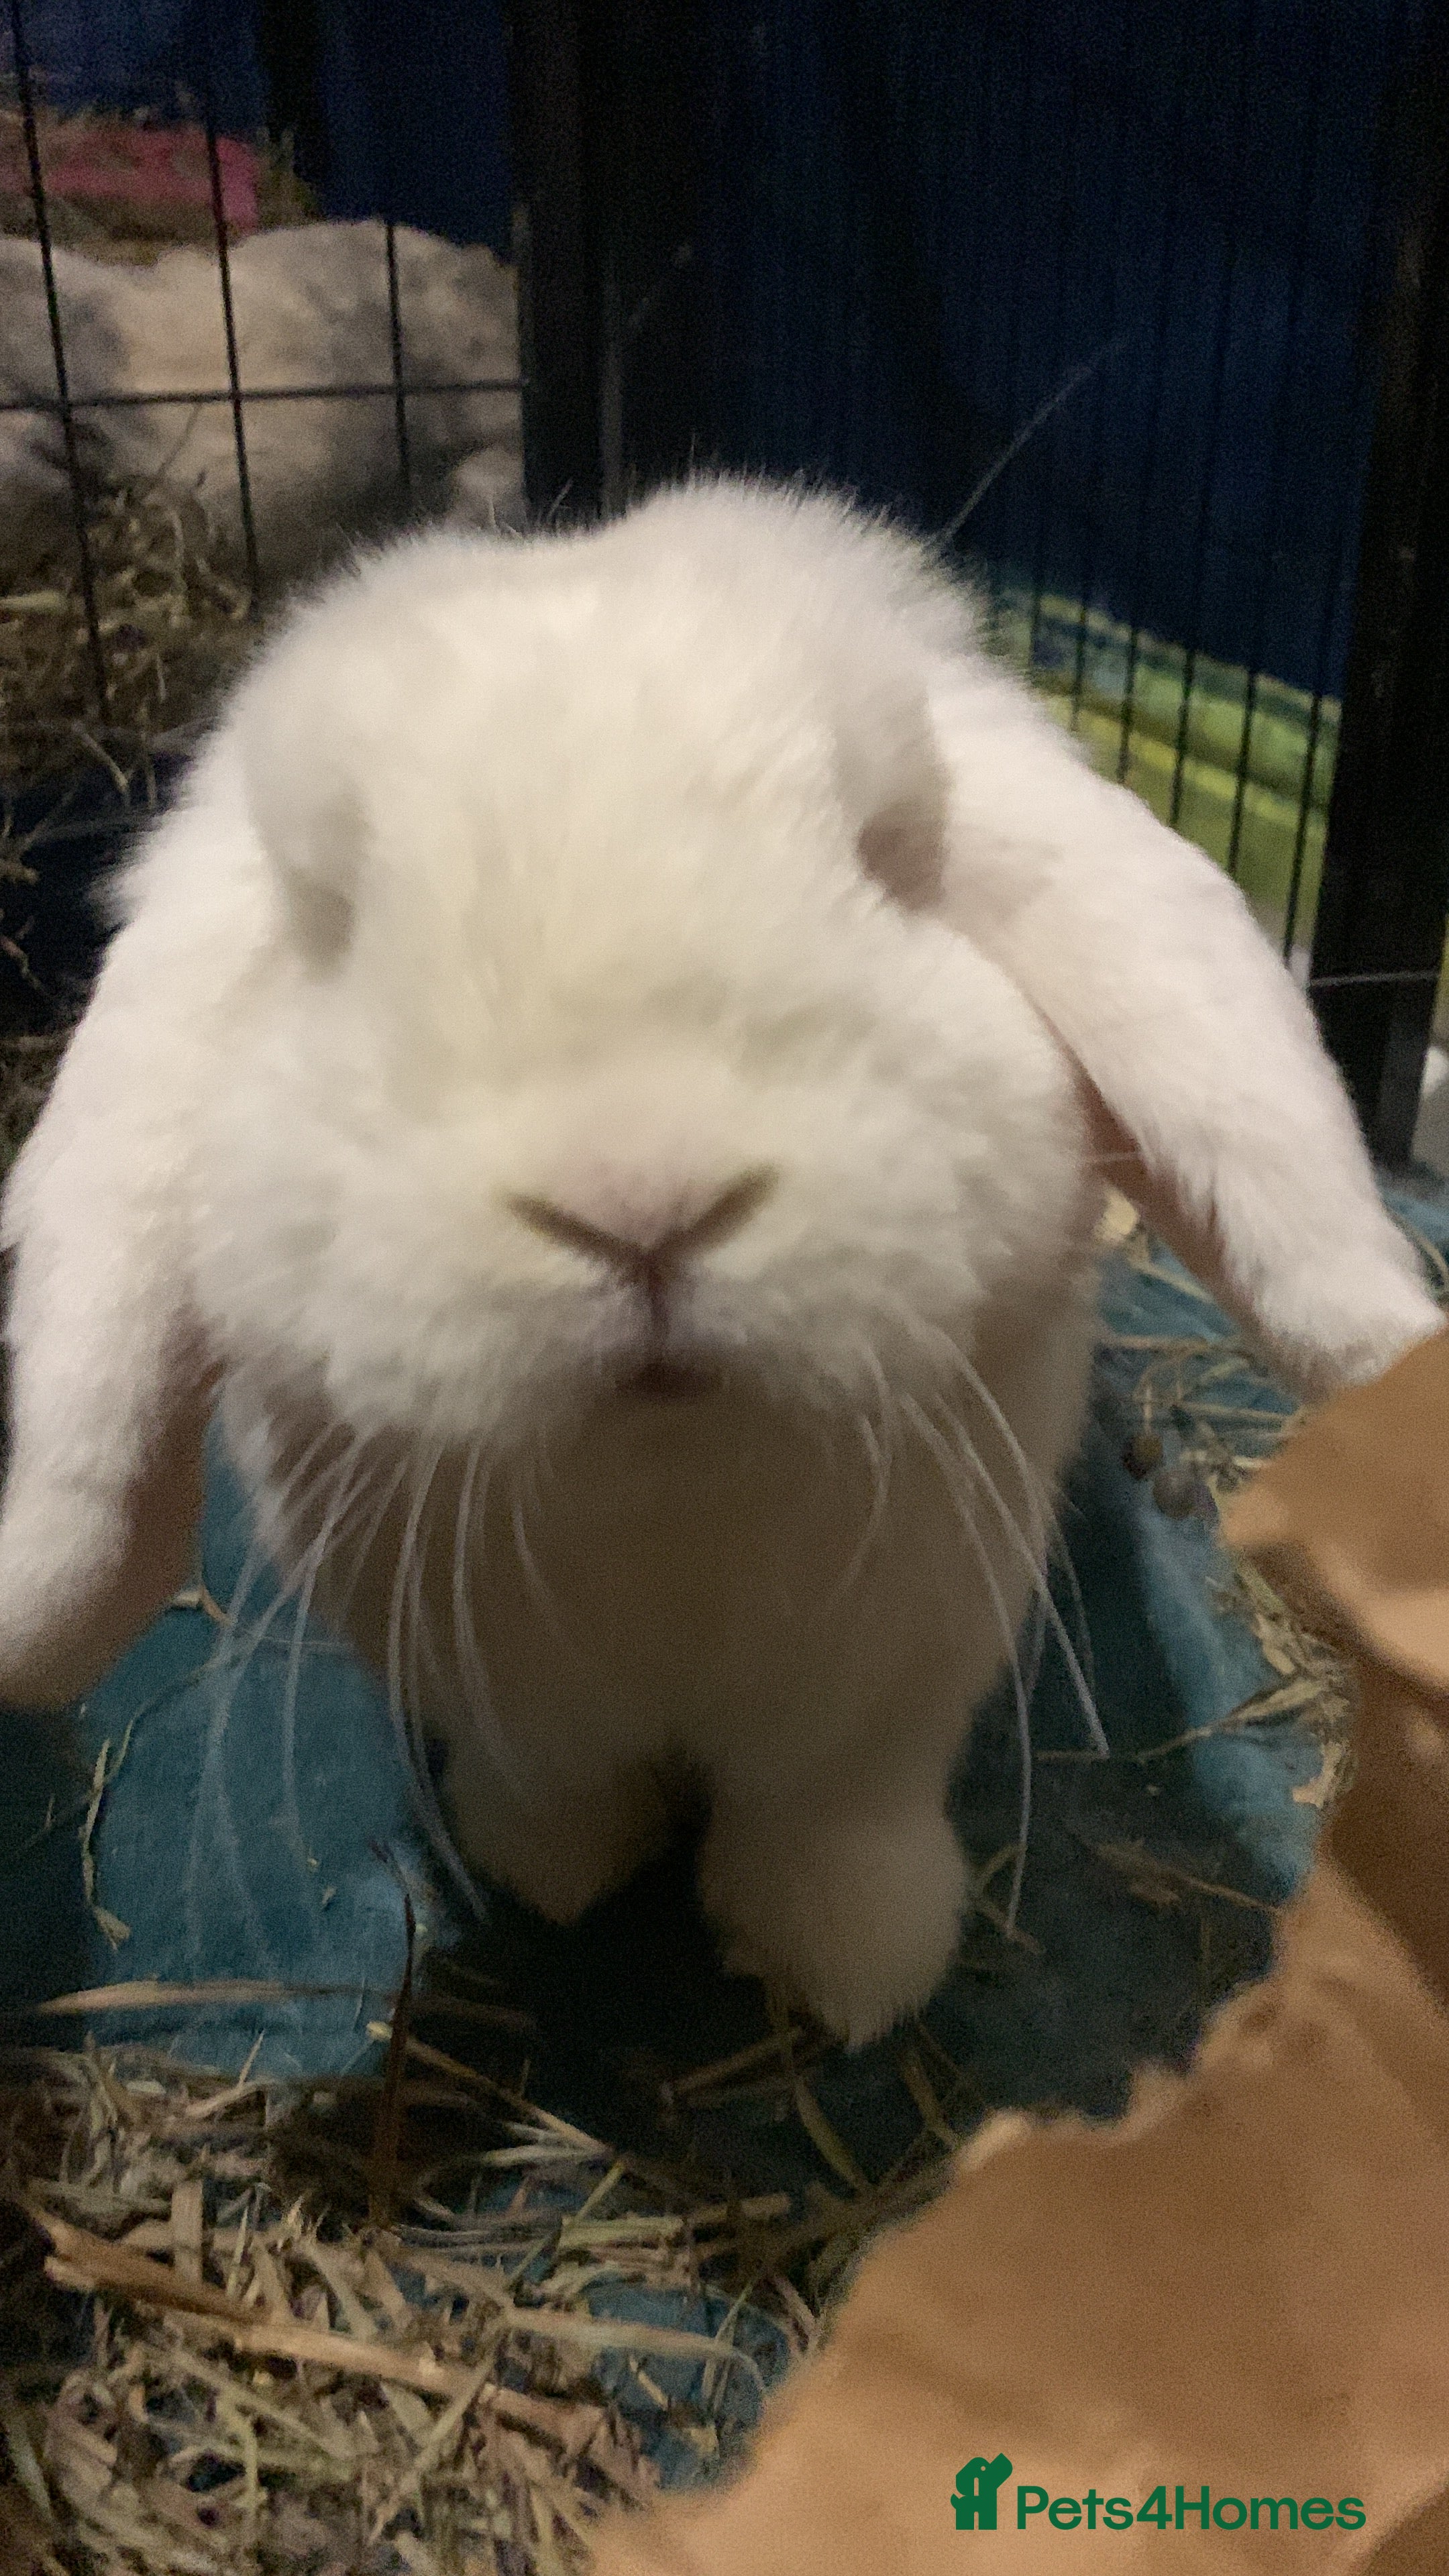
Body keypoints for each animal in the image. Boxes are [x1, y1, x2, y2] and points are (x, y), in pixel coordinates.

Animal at [0, 477, 1438, 2045]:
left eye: (875, 851)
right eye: (336, 917)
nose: (643, 1201)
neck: (667, 1493)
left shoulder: (892, 1686)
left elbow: (832, 1821)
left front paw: (851, 1973)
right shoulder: (511, 1696)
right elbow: (555, 1784)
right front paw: (555, 1873)